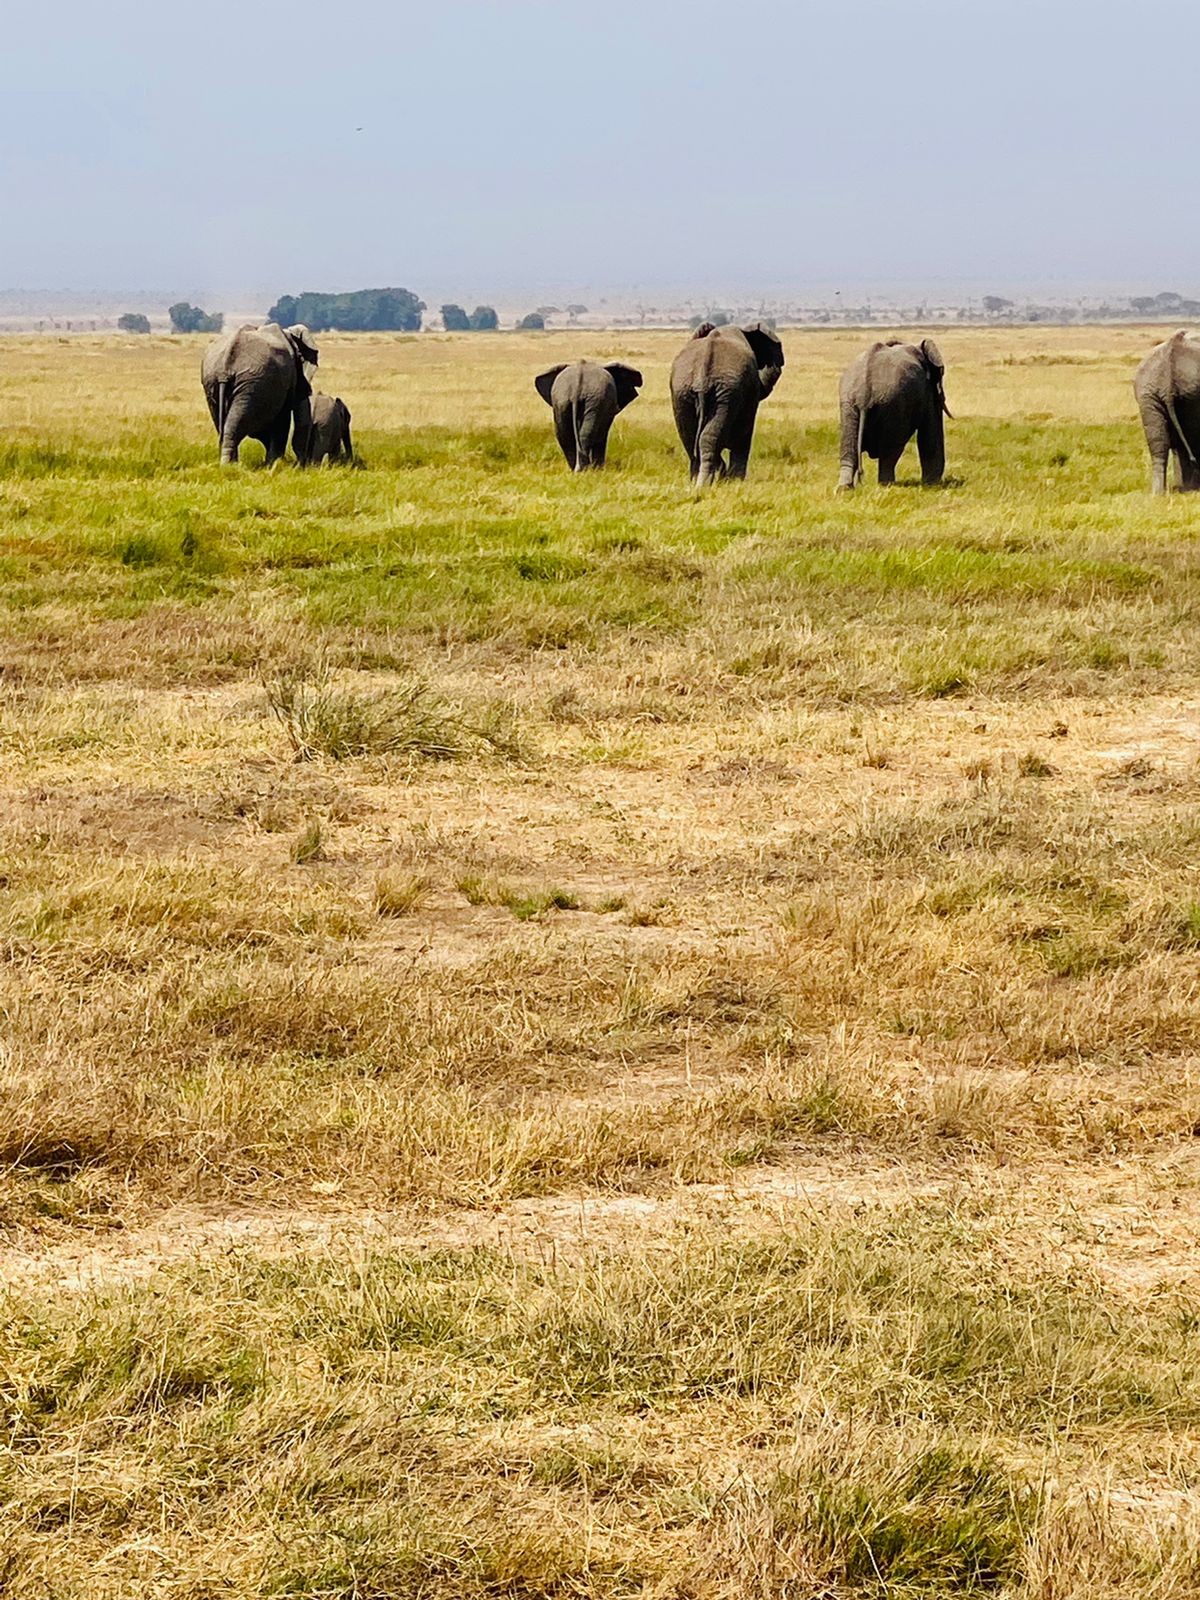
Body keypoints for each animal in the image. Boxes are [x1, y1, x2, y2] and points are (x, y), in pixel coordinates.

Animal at [201, 322, 319, 465]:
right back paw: (230, 465)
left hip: (216, 382)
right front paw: (275, 463)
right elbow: (282, 420)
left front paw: (272, 463)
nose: (301, 462)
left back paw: (230, 465)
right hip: (250, 384)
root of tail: (225, 365)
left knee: (224, 425)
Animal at [669, 322, 784, 486]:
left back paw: (698, 483)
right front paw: (735, 481)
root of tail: (702, 376)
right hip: (725, 394)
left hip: (684, 393)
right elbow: (745, 435)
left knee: (692, 440)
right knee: (708, 439)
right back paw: (705, 484)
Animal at [837, 339, 950, 489]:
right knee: (890, 452)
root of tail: (863, 393)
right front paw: (931, 485)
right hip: (893, 402)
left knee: (850, 445)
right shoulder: (928, 391)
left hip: (849, 404)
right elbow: (930, 432)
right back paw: (887, 485)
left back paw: (844, 489)